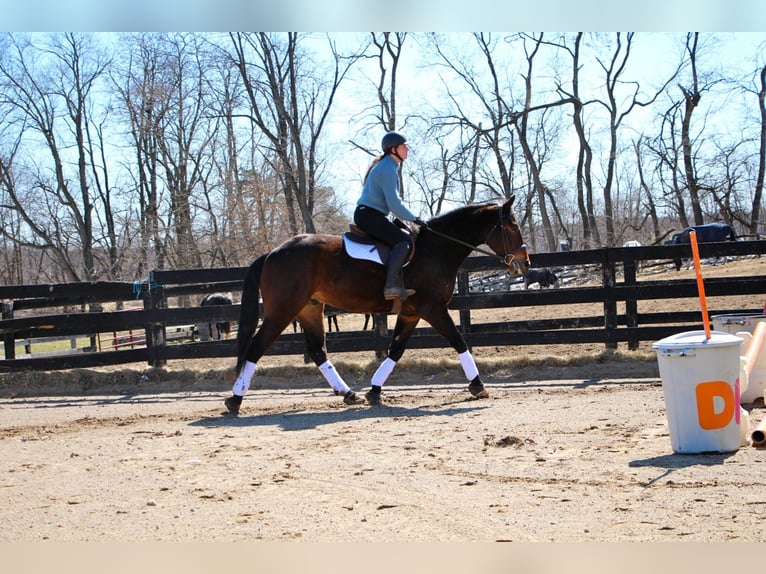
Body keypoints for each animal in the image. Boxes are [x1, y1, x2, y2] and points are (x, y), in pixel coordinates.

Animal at [225, 197, 532, 414]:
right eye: (513, 226)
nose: (525, 262)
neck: (435, 250)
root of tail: (273, 252)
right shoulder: (433, 309)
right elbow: (459, 341)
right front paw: (477, 385)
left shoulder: (410, 314)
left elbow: (395, 350)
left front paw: (374, 390)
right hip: (282, 312)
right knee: (256, 348)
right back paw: (235, 399)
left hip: (309, 309)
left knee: (318, 351)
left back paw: (348, 393)